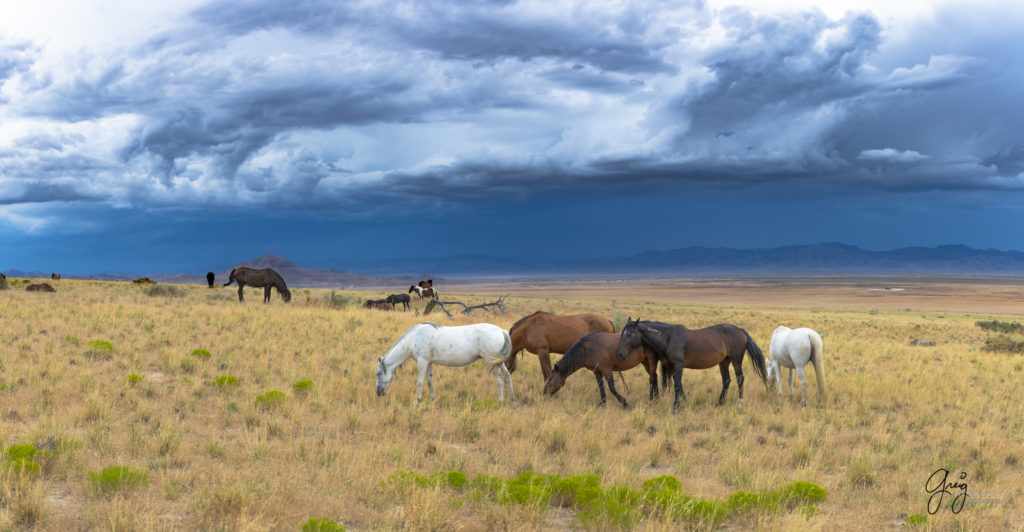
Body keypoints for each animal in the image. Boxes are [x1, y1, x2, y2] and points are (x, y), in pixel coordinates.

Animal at [376, 319, 516, 403]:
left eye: (378, 374)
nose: (378, 393)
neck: (413, 338)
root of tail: (501, 331)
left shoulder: (422, 361)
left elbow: (420, 381)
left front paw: (418, 400)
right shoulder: (429, 362)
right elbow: (430, 381)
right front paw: (432, 398)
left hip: (492, 362)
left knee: (500, 381)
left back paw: (500, 401)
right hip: (499, 362)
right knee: (507, 376)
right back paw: (512, 399)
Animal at [614, 315, 770, 411]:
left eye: (629, 334)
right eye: (622, 334)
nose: (620, 354)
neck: (668, 338)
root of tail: (741, 331)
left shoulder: (678, 365)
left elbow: (677, 386)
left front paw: (675, 407)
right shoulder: (672, 367)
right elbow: (679, 384)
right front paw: (684, 402)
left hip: (736, 360)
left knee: (740, 379)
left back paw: (739, 403)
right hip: (724, 362)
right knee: (726, 381)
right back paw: (719, 403)